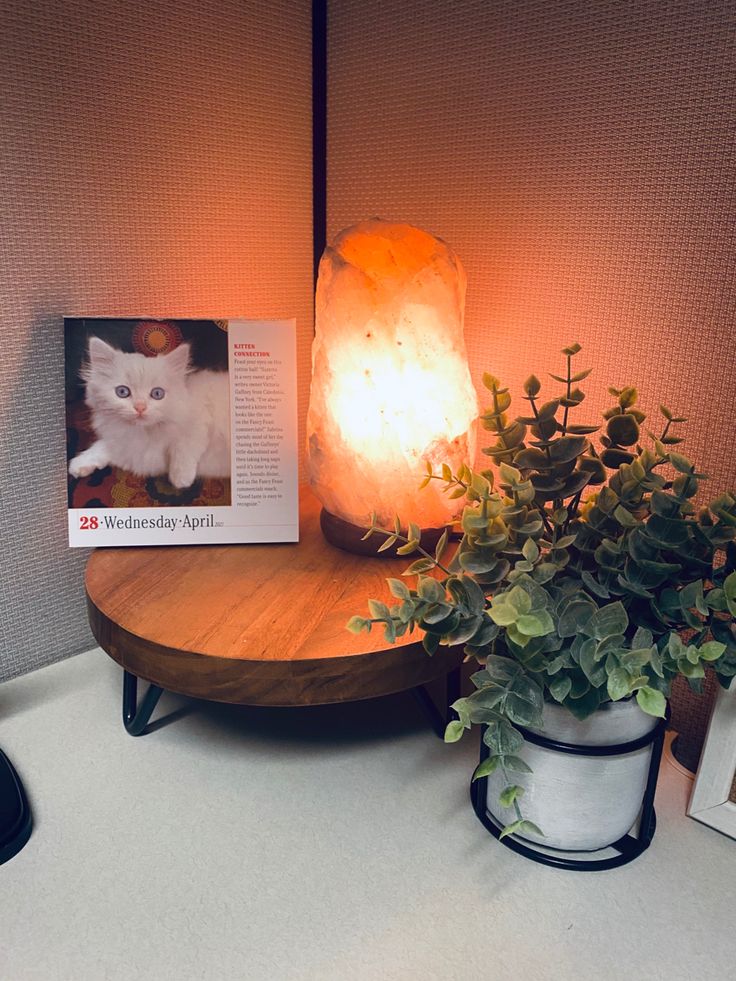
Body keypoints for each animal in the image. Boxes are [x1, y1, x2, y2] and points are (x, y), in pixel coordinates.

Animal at [69, 338, 230, 488]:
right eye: (122, 392)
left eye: (157, 393)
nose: (140, 407)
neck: (144, 432)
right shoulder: (135, 452)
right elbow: (102, 446)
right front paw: (79, 463)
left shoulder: (201, 414)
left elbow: (184, 445)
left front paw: (180, 478)